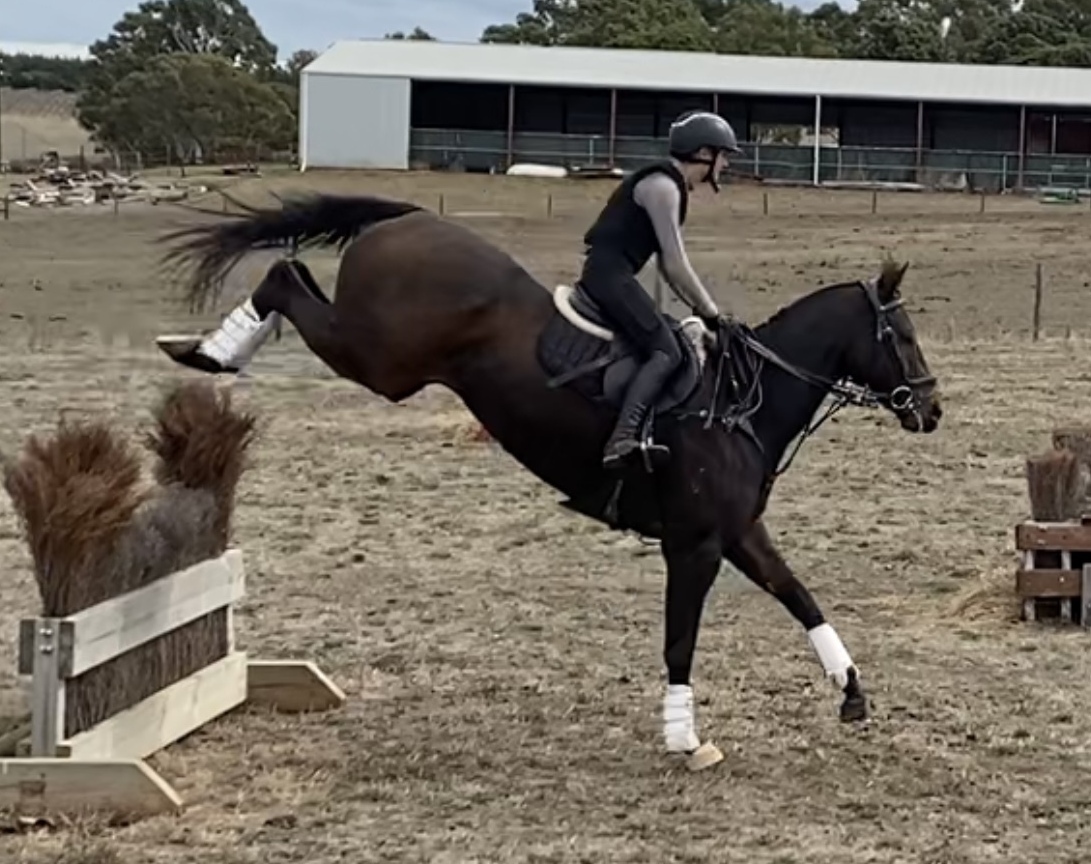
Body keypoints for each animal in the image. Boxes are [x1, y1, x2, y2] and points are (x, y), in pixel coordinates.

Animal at [155, 191, 942, 770]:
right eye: (902, 337)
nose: (931, 409)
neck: (742, 402)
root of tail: (408, 218)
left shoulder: (737, 531)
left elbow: (798, 594)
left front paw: (850, 689)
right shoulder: (692, 544)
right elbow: (679, 640)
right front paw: (685, 738)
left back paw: (203, 350)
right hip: (380, 359)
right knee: (285, 278)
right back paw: (210, 352)